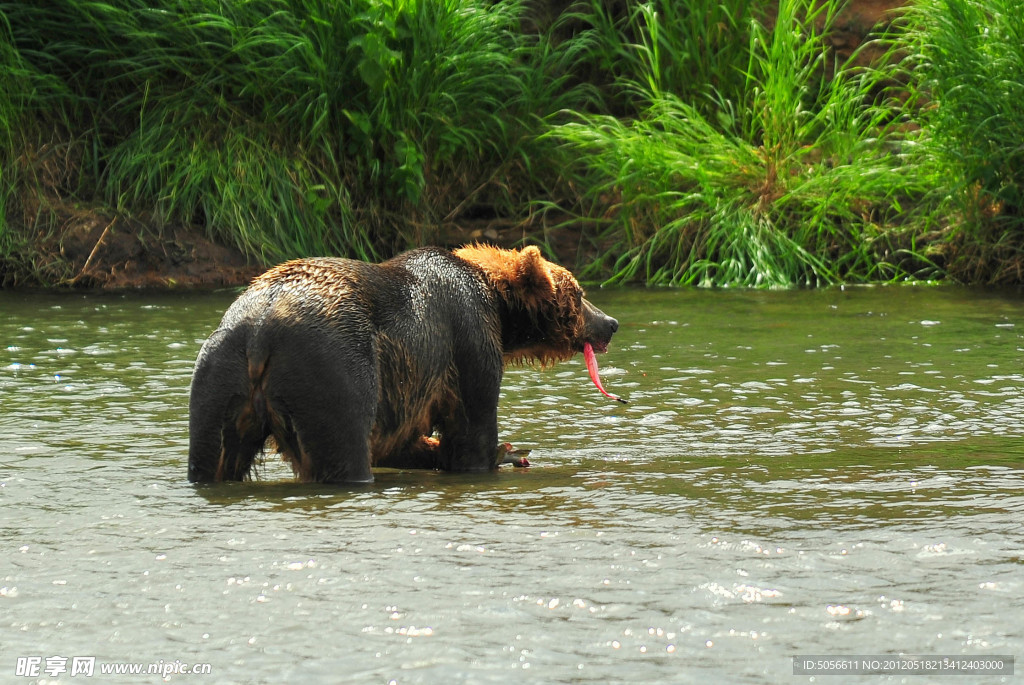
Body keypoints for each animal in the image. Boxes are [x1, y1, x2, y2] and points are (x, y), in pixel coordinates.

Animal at [188, 242, 618, 483]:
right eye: (579, 294)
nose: (610, 323)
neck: (498, 305)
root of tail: (262, 330)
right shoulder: (467, 336)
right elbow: (472, 429)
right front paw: (504, 453)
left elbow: (399, 440)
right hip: (332, 365)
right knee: (345, 446)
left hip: (220, 371)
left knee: (212, 454)